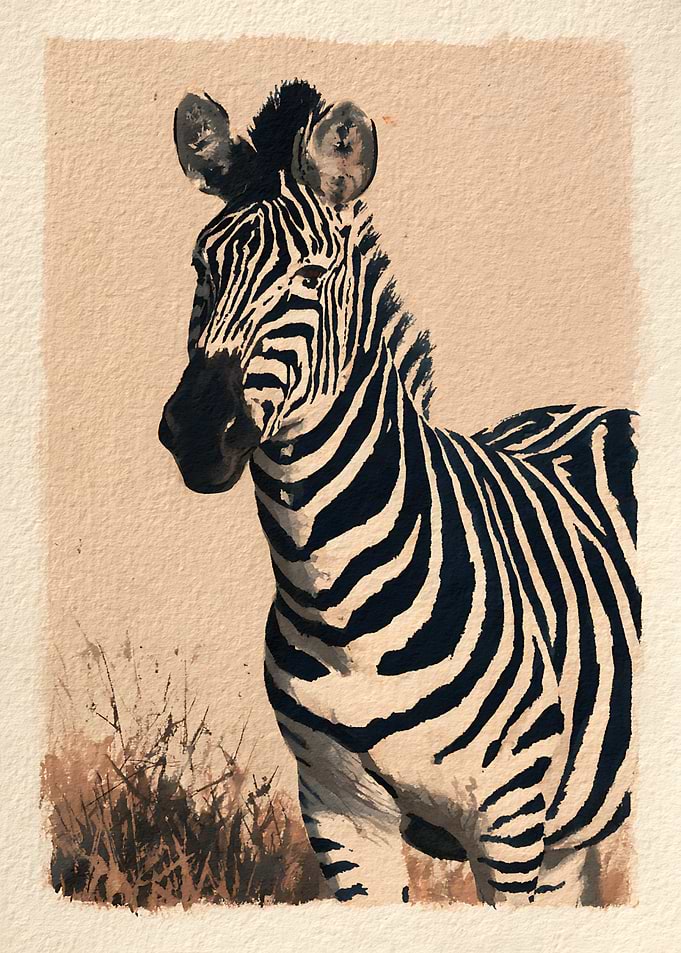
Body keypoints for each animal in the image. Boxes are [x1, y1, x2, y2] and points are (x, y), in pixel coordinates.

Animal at [158, 80, 640, 906]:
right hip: (567, 837)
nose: (195, 429)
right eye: (200, 266)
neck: (336, 599)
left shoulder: (507, 819)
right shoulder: (340, 813)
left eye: (311, 278)